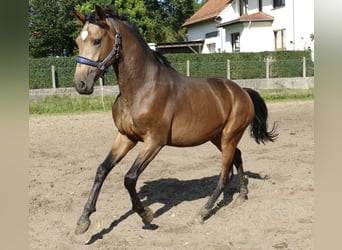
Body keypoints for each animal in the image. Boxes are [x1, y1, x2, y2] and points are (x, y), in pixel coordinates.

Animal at [72, 5, 278, 235]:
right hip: (218, 137)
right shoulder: (126, 137)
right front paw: (84, 220)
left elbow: (129, 178)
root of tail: (242, 92)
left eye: (97, 40)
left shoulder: (154, 142)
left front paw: (147, 215)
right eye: (78, 41)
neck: (141, 89)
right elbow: (102, 170)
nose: (80, 84)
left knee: (224, 175)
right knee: (238, 157)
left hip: (229, 137)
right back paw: (242, 194)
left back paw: (202, 212)